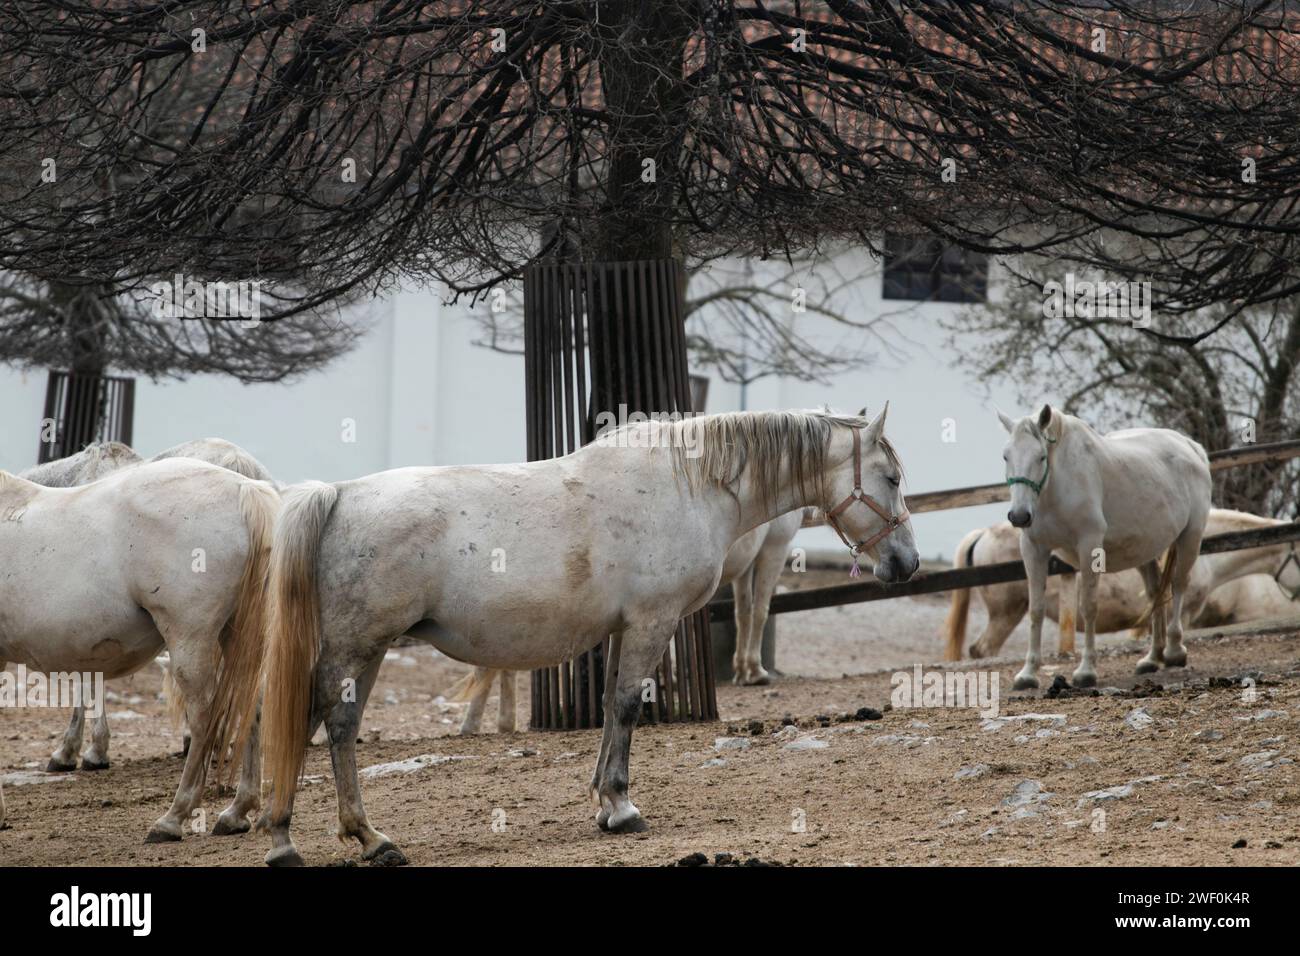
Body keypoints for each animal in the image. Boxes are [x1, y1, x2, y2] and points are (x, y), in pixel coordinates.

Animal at [0, 458, 276, 840]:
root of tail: (243, 488)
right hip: (235, 635)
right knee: (252, 704)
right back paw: (236, 812)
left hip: (190, 638)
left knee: (204, 716)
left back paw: (173, 817)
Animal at [447, 505, 814, 734]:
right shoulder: (774, 548)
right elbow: (760, 610)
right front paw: (755, 671)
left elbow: (744, 611)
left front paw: (743, 669)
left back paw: (491, 723)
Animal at [997, 404, 1211, 690]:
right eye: (1006, 456)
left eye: (1041, 457)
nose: (1020, 516)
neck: (1056, 487)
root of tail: (1191, 446)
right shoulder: (1033, 549)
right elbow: (1036, 610)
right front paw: (1028, 673)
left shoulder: (1089, 546)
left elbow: (1088, 607)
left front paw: (1086, 671)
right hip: (1146, 549)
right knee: (1156, 593)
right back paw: (1152, 658)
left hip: (1190, 538)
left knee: (1178, 585)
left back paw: (1175, 651)